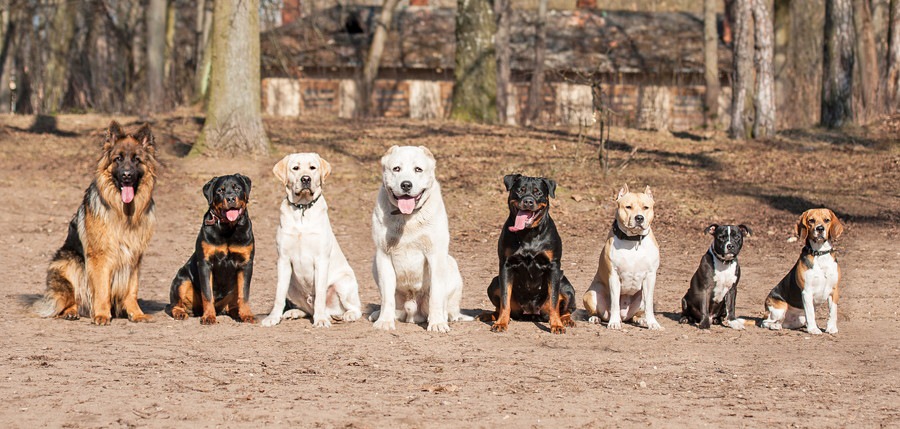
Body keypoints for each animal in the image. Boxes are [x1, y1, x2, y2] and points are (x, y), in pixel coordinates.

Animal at [584, 186, 660, 330]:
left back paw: (641, 320)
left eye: (646, 207)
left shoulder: (650, 276)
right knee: (598, 312)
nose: (639, 218)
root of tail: (624, 316)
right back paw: (597, 318)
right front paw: (614, 322)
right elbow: (614, 303)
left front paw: (653, 323)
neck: (633, 240)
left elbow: (649, 304)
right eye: (628, 207)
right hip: (591, 294)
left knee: (635, 314)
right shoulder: (614, 275)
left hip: (640, 299)